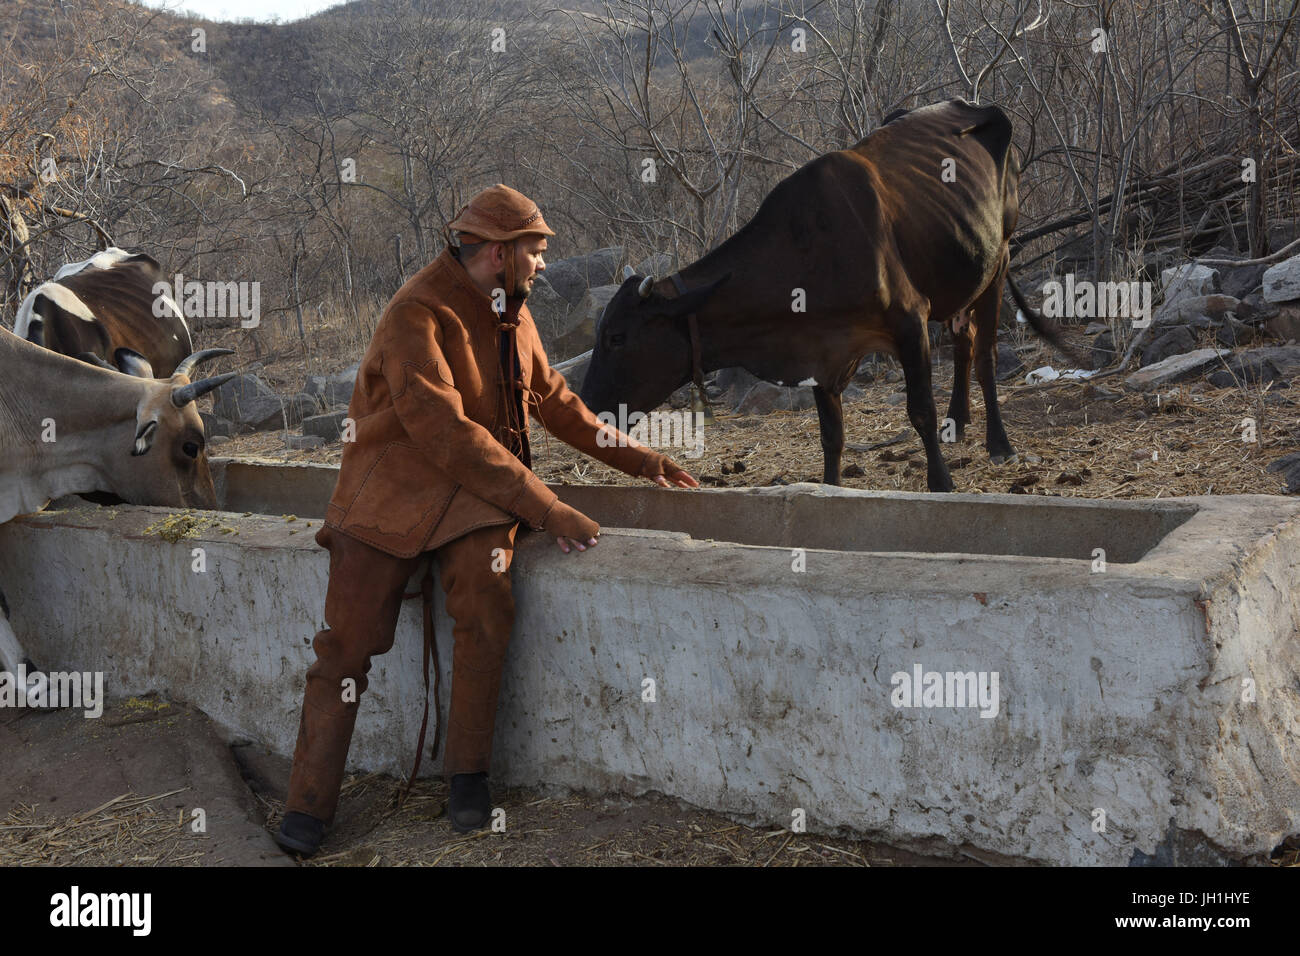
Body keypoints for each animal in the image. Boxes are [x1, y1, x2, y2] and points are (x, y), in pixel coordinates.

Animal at [585, 98, 1071, 494]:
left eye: (616, 337)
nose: (588, 405)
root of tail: (973, 104)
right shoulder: (819, 350)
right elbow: (831, 435)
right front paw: (830, 488)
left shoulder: (909, 321)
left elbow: (919, 411)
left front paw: (941, 482)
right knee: (965, 341)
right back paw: (959, 422)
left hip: (999, 259)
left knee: (986, 355)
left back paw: (998, 443)